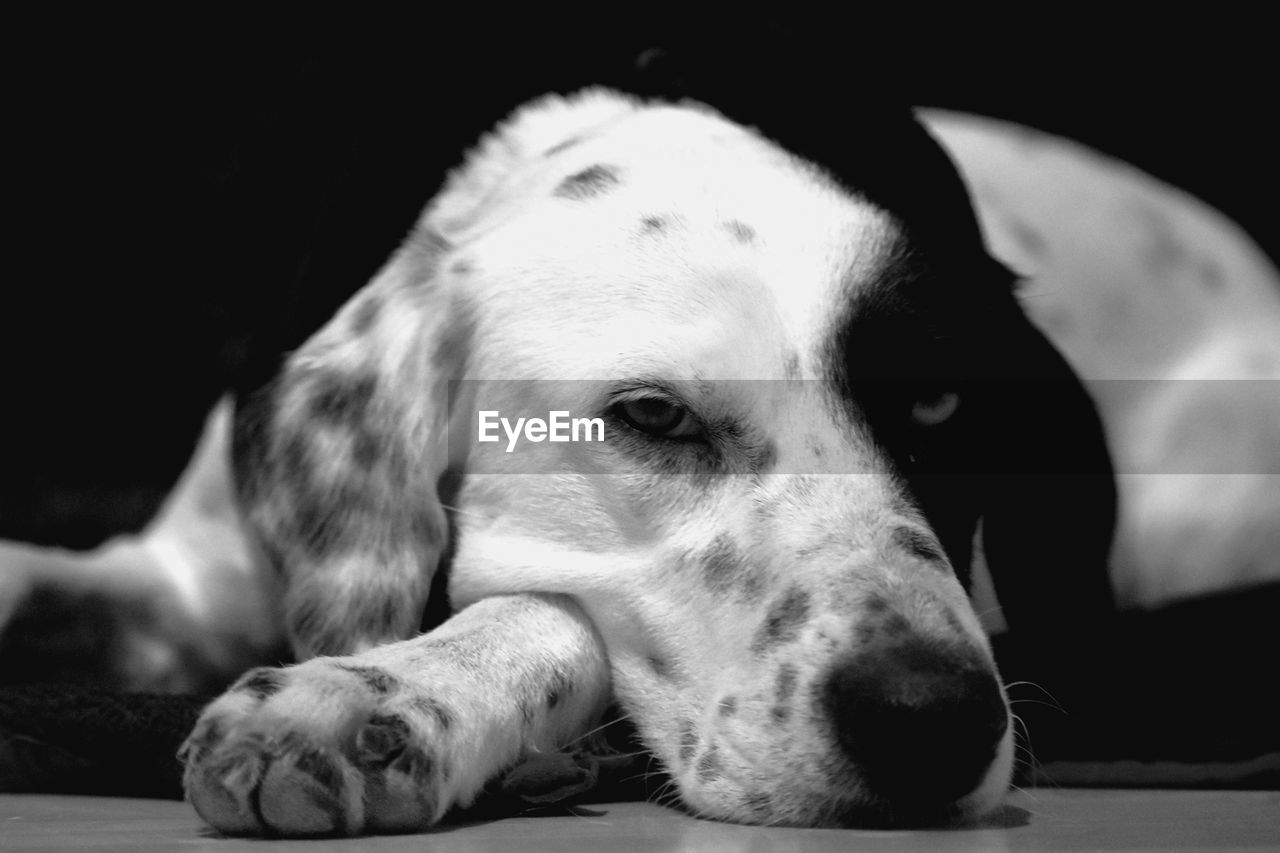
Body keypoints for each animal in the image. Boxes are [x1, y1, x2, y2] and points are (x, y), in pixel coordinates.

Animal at [2, 84, 1280, 829]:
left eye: (937, 402)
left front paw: (383, 693)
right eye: (654, 417)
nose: (931, 719)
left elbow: (542, 610)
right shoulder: (192, 568)